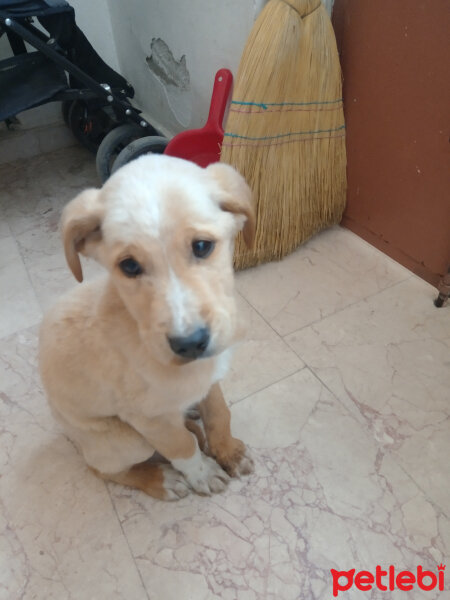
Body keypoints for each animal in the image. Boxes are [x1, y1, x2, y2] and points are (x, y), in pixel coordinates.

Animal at [38, 152, 255, 500]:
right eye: (129, 266)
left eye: (202, 246)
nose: (190, 343)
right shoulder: (148, 419)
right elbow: (181, 447)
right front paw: (203, 473)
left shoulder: (209, 374)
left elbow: (219, 411)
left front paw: (227, 451)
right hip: (125, 440)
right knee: (101, 469)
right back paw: (160, 478)